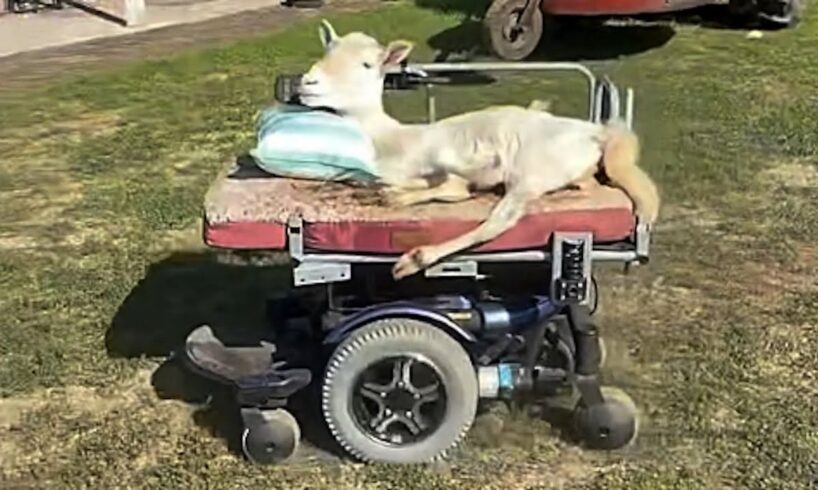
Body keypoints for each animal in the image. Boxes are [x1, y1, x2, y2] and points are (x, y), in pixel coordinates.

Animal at [297, 20, 660, 280]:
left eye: (367, 65)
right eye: (326, 51)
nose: (307, 82)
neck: (390, 139)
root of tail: (599, 132)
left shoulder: (456, 160)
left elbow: (453, 188)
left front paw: (399, 196)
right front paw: (392, 193)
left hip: (529, 172)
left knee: (499, 220)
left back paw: (416, 256)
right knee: (589, 184)